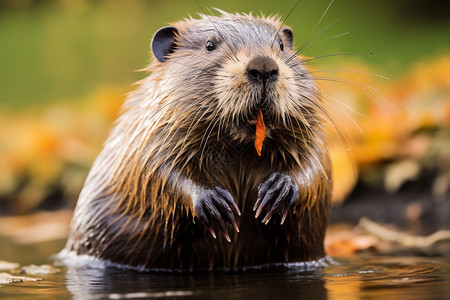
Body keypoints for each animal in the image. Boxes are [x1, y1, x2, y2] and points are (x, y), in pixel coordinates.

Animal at [62, 10, 330, 270]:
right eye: (210, 45)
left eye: (282, 45)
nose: (263, 66)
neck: (239, 147)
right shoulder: (149, 132)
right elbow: (156, 170)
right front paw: (215, 204)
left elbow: (316, 164)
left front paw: (279, 188)